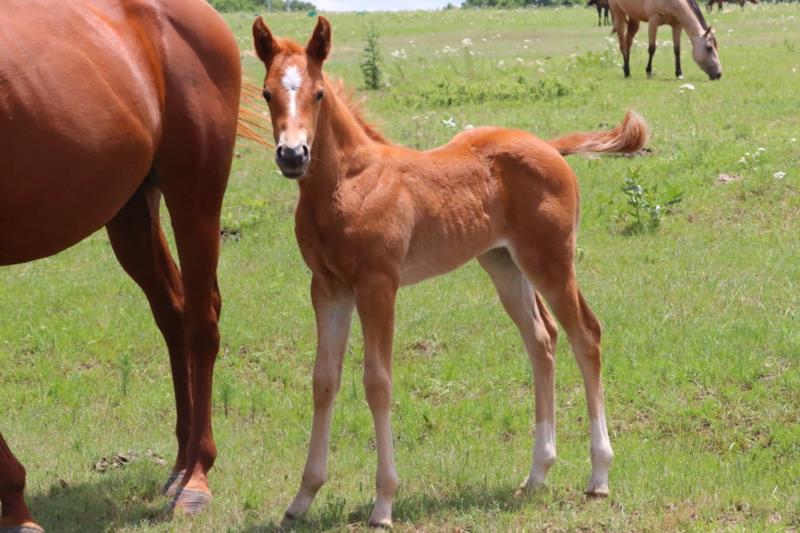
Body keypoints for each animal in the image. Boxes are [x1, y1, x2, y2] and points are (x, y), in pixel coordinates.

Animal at [0, 0, 242, 529]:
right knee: (174, 314)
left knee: (202, 322)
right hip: (132, 209)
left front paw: (13, 501)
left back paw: (196, 478)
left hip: (195, 190)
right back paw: (179, 466)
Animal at [252, 16, 650, 528]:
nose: (292, 155)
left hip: (551, 260)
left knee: (586, 334)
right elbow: (324, 381)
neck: (347, 184)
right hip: (504, 263)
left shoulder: (378, 285)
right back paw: (536, 475)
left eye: (318, 93)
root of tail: (549, 146)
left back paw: (598, 477)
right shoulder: (327, 288)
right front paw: (302, 499)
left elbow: (377, 382)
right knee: (542, 340)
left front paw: (384, 503)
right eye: (266, 93)